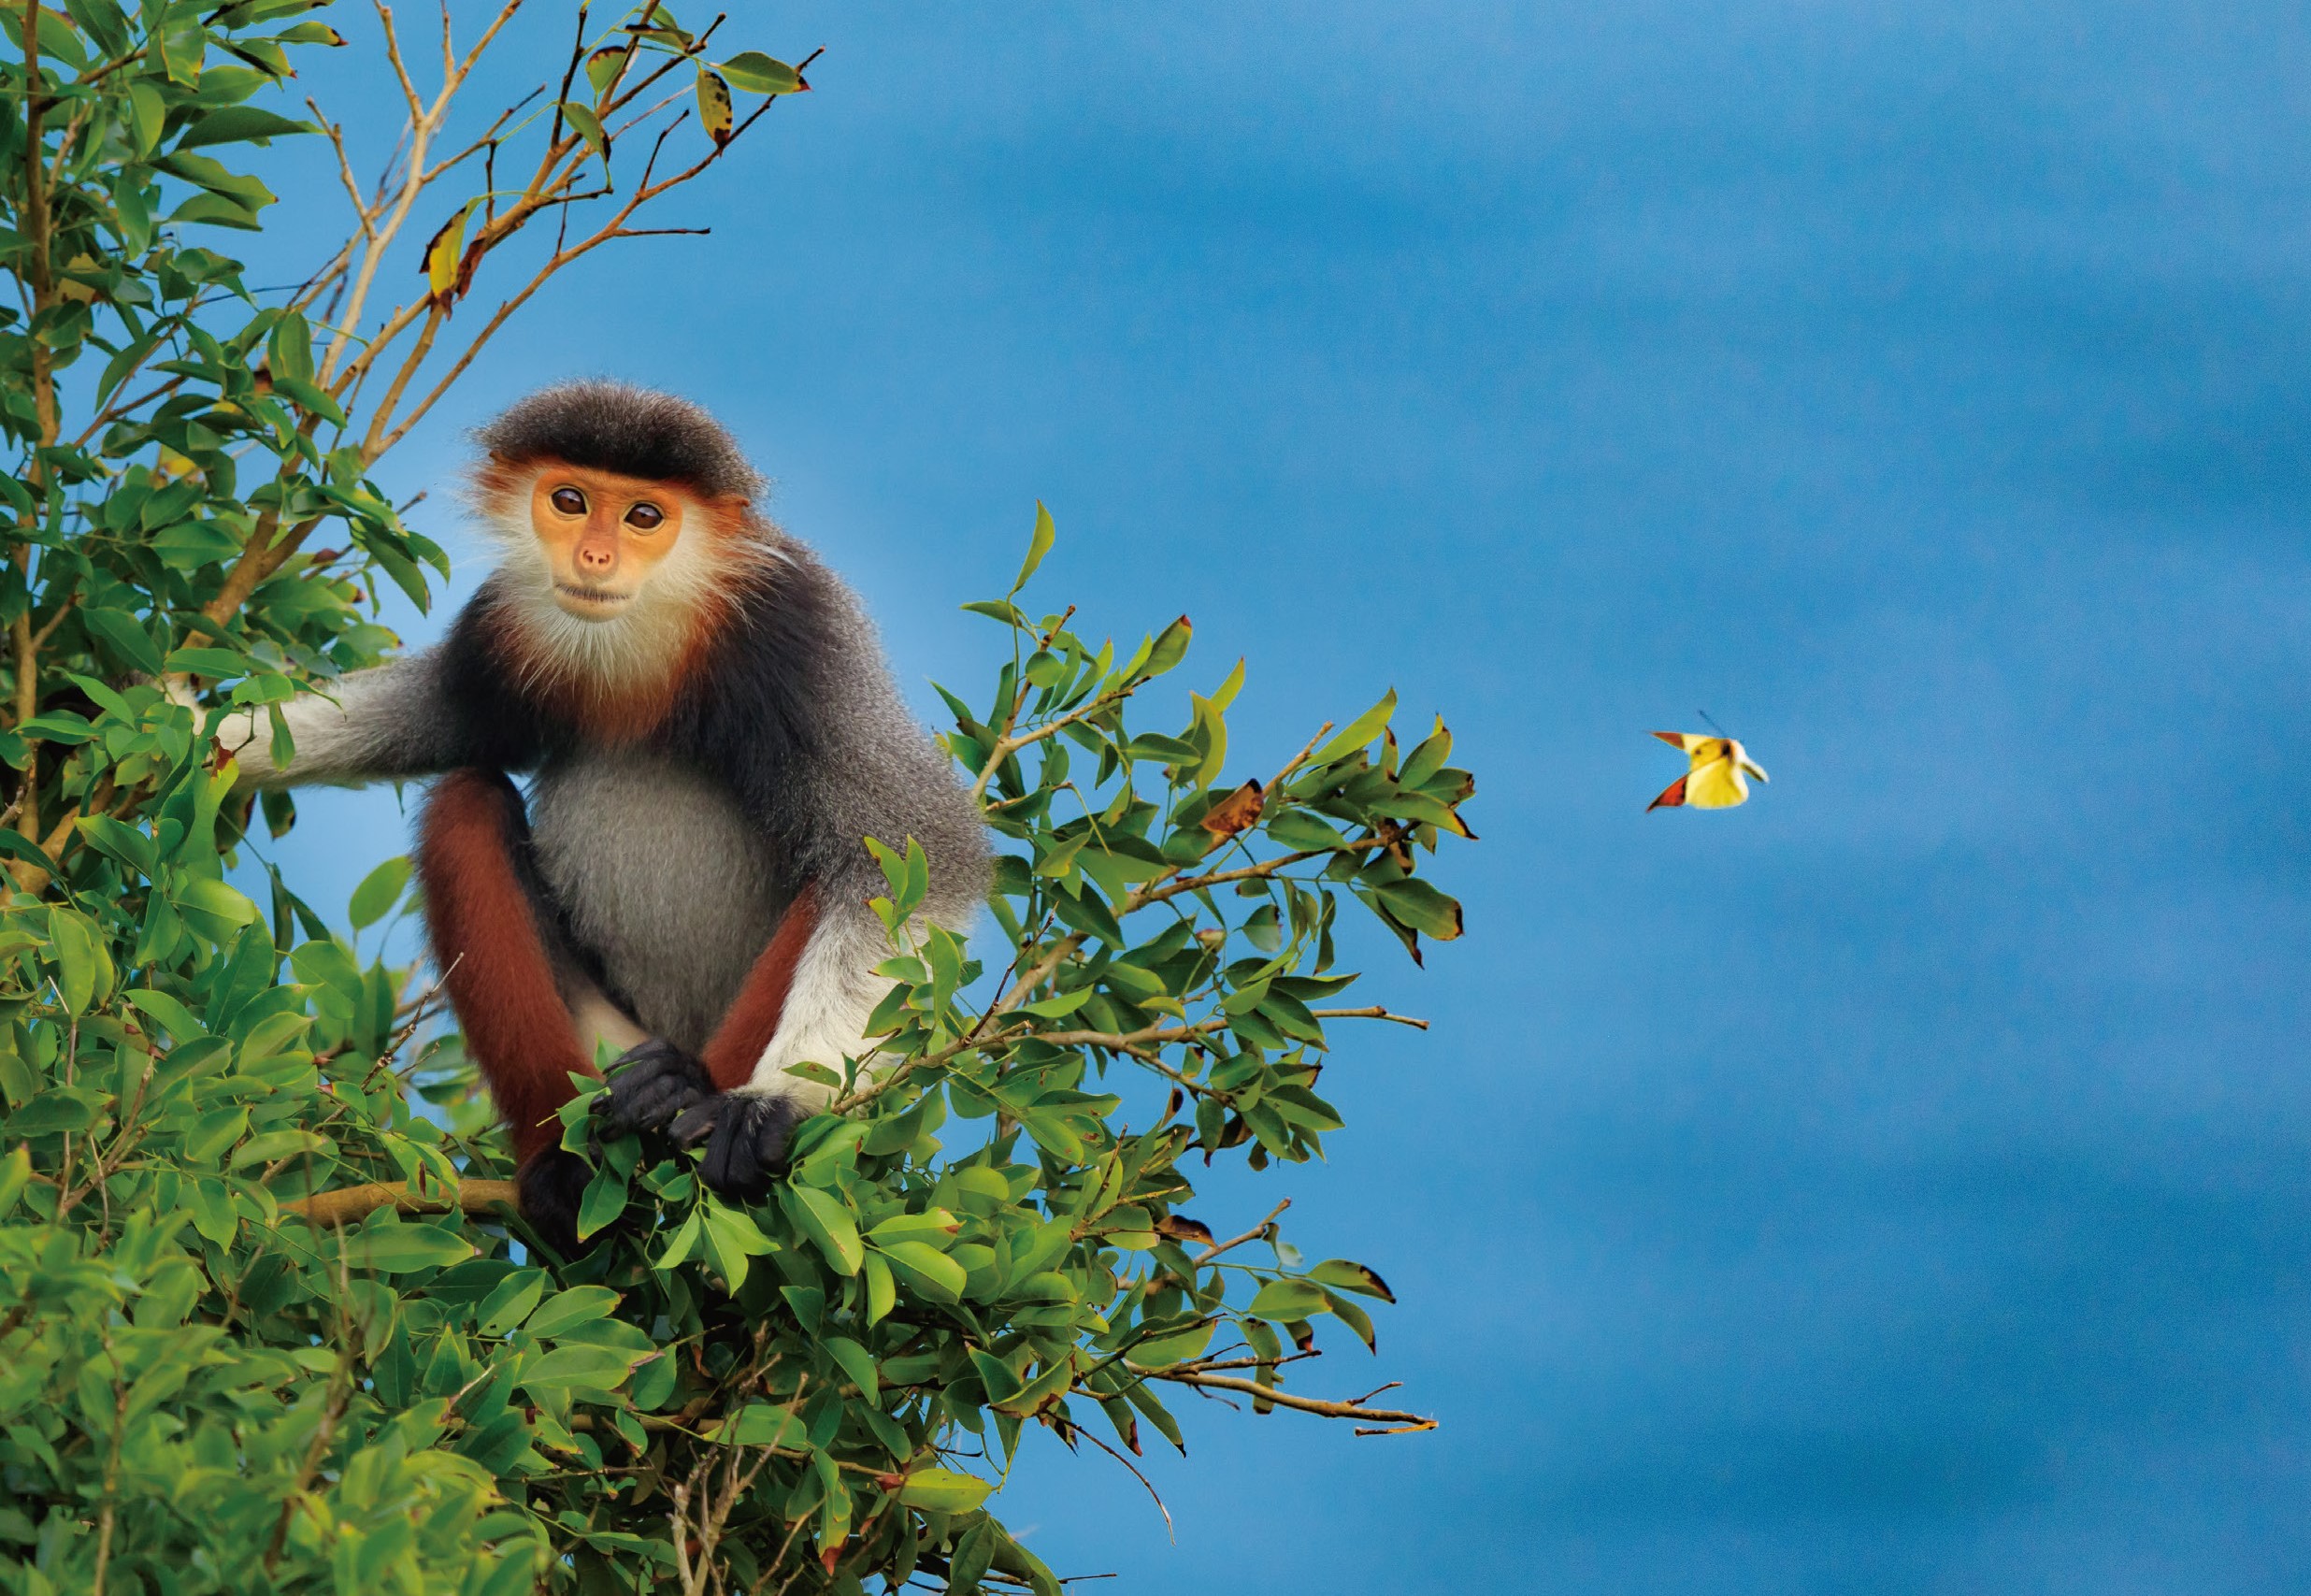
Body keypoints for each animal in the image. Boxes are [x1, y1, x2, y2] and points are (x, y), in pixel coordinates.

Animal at [225, 379, 993, 1246]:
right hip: (597, 1039)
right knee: (465, 800)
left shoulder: (802, 632)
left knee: (833, 879)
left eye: (644, 517)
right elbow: (429, 721)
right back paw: (568, 1156)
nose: (593, 557)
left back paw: (687, 1091)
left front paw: (779, 1103)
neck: (647, 638)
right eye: (569, 500)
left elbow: (909, 855)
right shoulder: (508, 620)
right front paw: (195, 740)